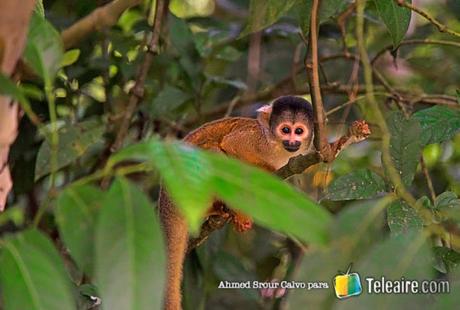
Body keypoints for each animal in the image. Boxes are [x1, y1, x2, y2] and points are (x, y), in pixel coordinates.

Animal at [158, 95, 312, 308]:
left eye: (299, 131)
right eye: (285, 130)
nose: (292, 142)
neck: (277, 146)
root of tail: (166, 201)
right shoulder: (257, 139)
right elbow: (231, 145)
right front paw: (265, 172)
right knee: (215, 151)